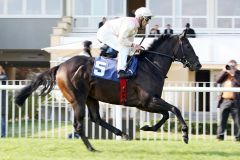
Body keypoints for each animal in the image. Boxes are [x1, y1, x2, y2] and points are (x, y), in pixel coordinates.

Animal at [15, 33, 202, 151]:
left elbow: (166, 114)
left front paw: (148, 127)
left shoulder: (147, 102)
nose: (198, 65)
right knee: (79, 125)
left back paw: (122, 133)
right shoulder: (147, 101)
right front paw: (185, 134)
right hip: (77, 99)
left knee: (96, 118)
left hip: (91, 97)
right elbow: (174, 109)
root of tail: (60, 66)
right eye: (187, 45)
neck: (150, 66)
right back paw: (91, 148)